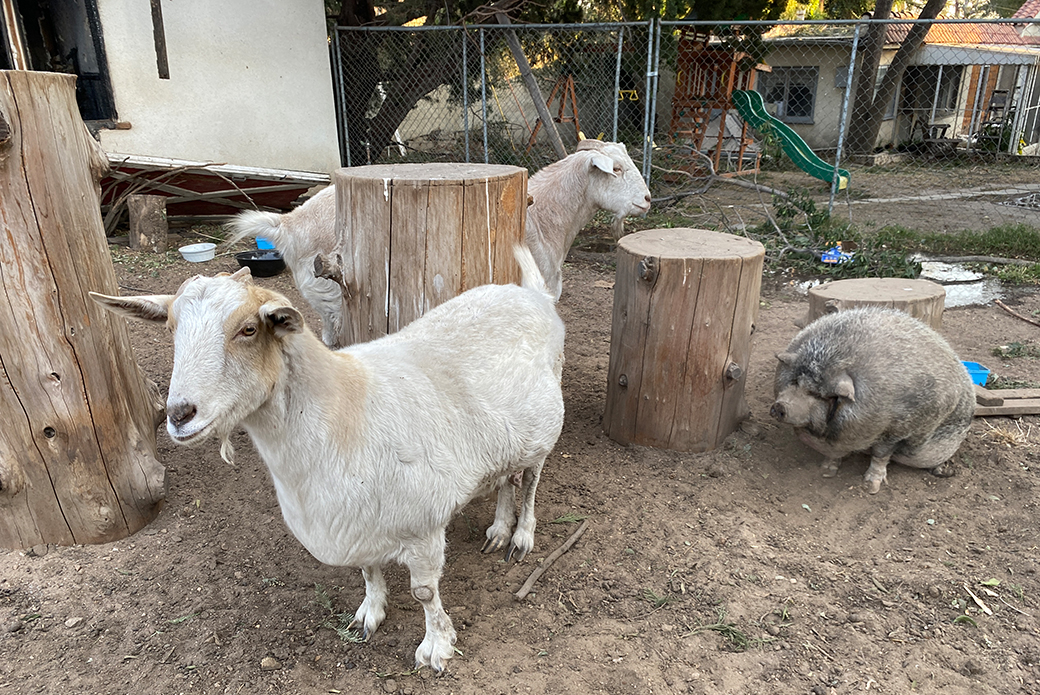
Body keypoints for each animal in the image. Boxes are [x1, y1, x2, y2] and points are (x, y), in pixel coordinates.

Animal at [90, 246, 565, 672]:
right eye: (171, 327)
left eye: (248, 329)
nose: (179, 414)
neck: (345, 409)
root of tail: (533, 295)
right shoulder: (355, 522)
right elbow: (368, 571)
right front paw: (369, 615)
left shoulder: (423, 525)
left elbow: (425, 594)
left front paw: (436, 648)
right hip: (508, 438)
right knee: (507, 478)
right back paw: (498, 530)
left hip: (545, 430)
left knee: (530, 482)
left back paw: (520, 535)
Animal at [770, 307, 975, 494]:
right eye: (795, 381)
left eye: (818, 394)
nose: (779, 407)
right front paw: (825, 472)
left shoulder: (899, 429)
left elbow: (881, 454)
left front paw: (871, 488)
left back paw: (943, 471)